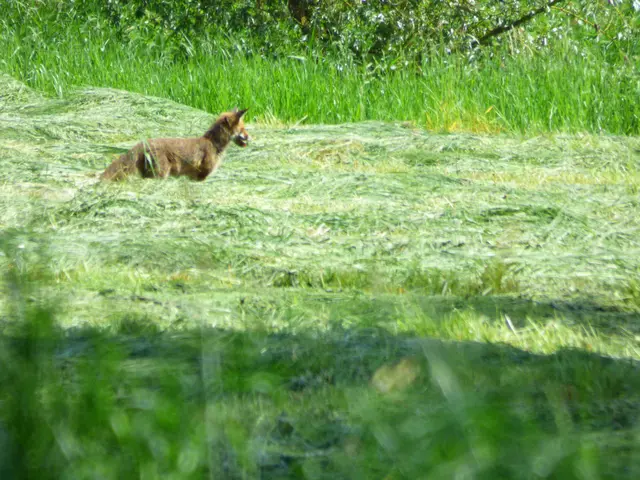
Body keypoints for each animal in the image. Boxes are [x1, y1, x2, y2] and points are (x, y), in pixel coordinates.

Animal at [101, 108, 249, 181]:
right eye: (243, 129)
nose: (250, 137)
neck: (213, 144)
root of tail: (142, 143)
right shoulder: (201, 175)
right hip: (161, 174)